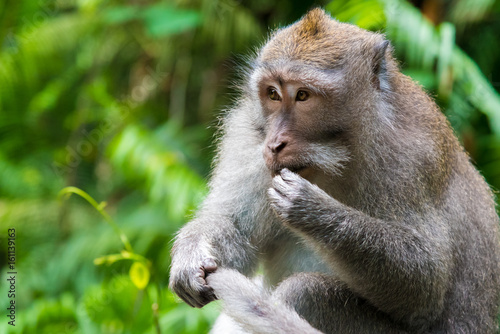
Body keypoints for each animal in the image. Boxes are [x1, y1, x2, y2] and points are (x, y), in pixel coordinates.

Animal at [169, 7, 500, 334]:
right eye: (273, 94)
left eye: (303, 95)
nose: (274, 144)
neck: (338, 156)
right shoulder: (248, 141)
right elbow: (235, 229)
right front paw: (192, 255)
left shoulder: (415, 158)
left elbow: (425, 287)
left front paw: (314, 210)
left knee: (305, 293)